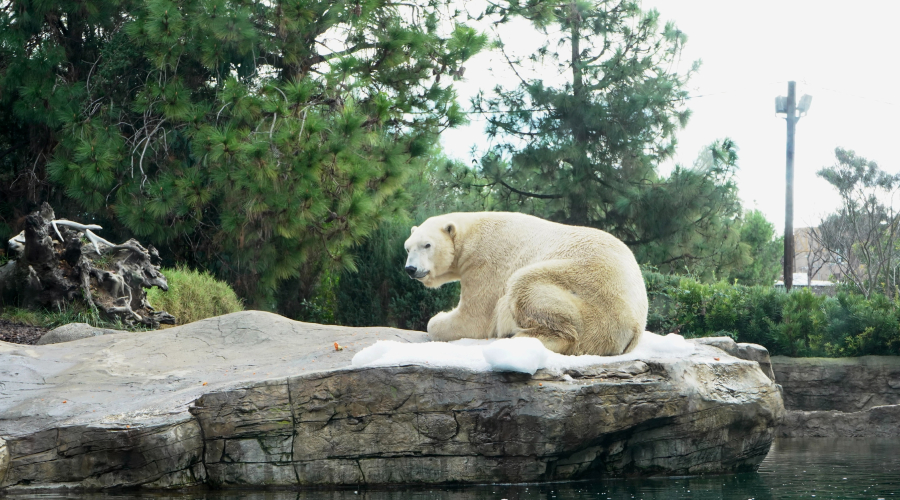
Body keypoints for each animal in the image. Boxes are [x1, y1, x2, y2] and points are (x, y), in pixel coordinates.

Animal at [404, 211, 652, 356]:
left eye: (427, 245)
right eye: (408, 248)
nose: (410, 269)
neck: (472, 232)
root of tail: (635, 326)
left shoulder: (485, 263)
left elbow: (473, 319)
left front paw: (438, 318)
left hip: (586, 291)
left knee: (526, 285)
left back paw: (518, 338)